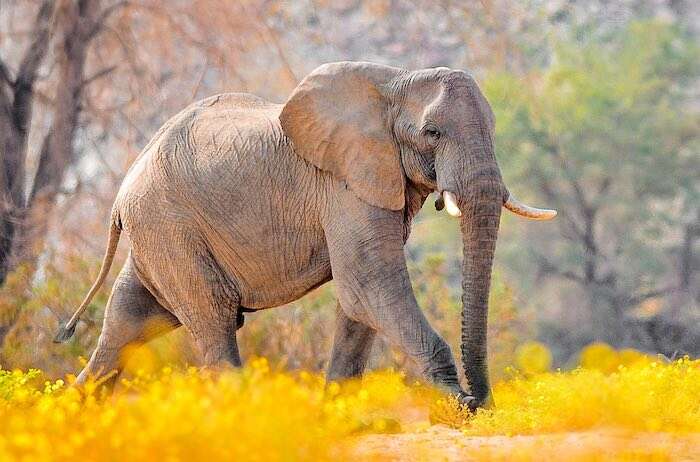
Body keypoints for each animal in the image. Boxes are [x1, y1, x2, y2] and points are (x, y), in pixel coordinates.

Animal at [55, 61, 555, 410]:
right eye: (432, 132)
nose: (483, 399)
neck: (395, 81)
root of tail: (121, 193)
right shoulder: (345, 184)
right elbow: (369, 284)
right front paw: (461, 408)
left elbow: (358, 299)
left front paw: (336, 413)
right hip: (169, 227)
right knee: (212, 320)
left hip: (158, 236)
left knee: (128, 323)